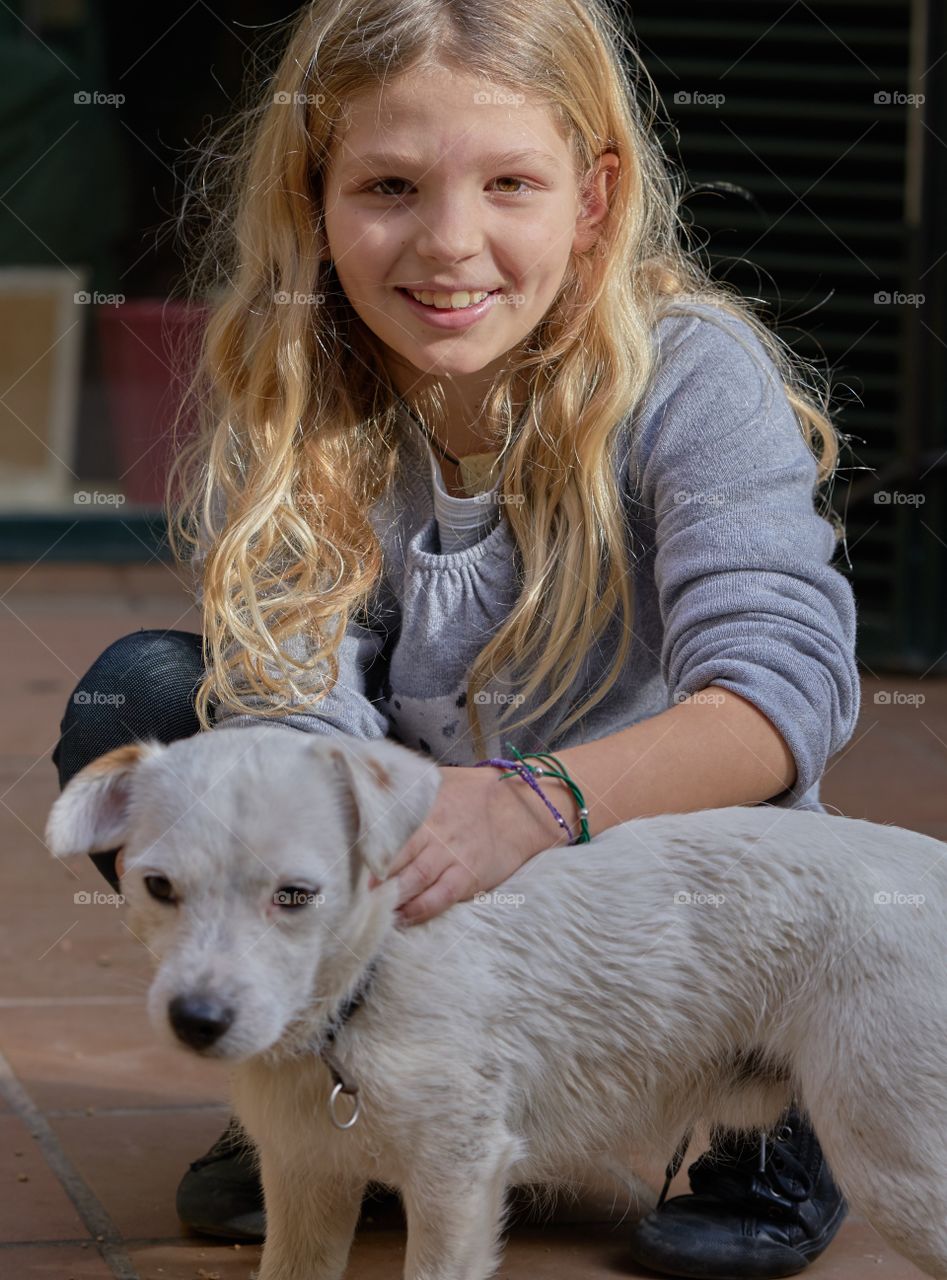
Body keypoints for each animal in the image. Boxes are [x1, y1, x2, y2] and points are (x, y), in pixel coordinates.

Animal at [46, 727, 947, 1274]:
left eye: (295, 896)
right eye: (158, 887)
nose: (197, 1023)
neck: (367, 978)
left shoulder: (458, 1178)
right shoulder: (306, 1180)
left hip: (897, 1159)